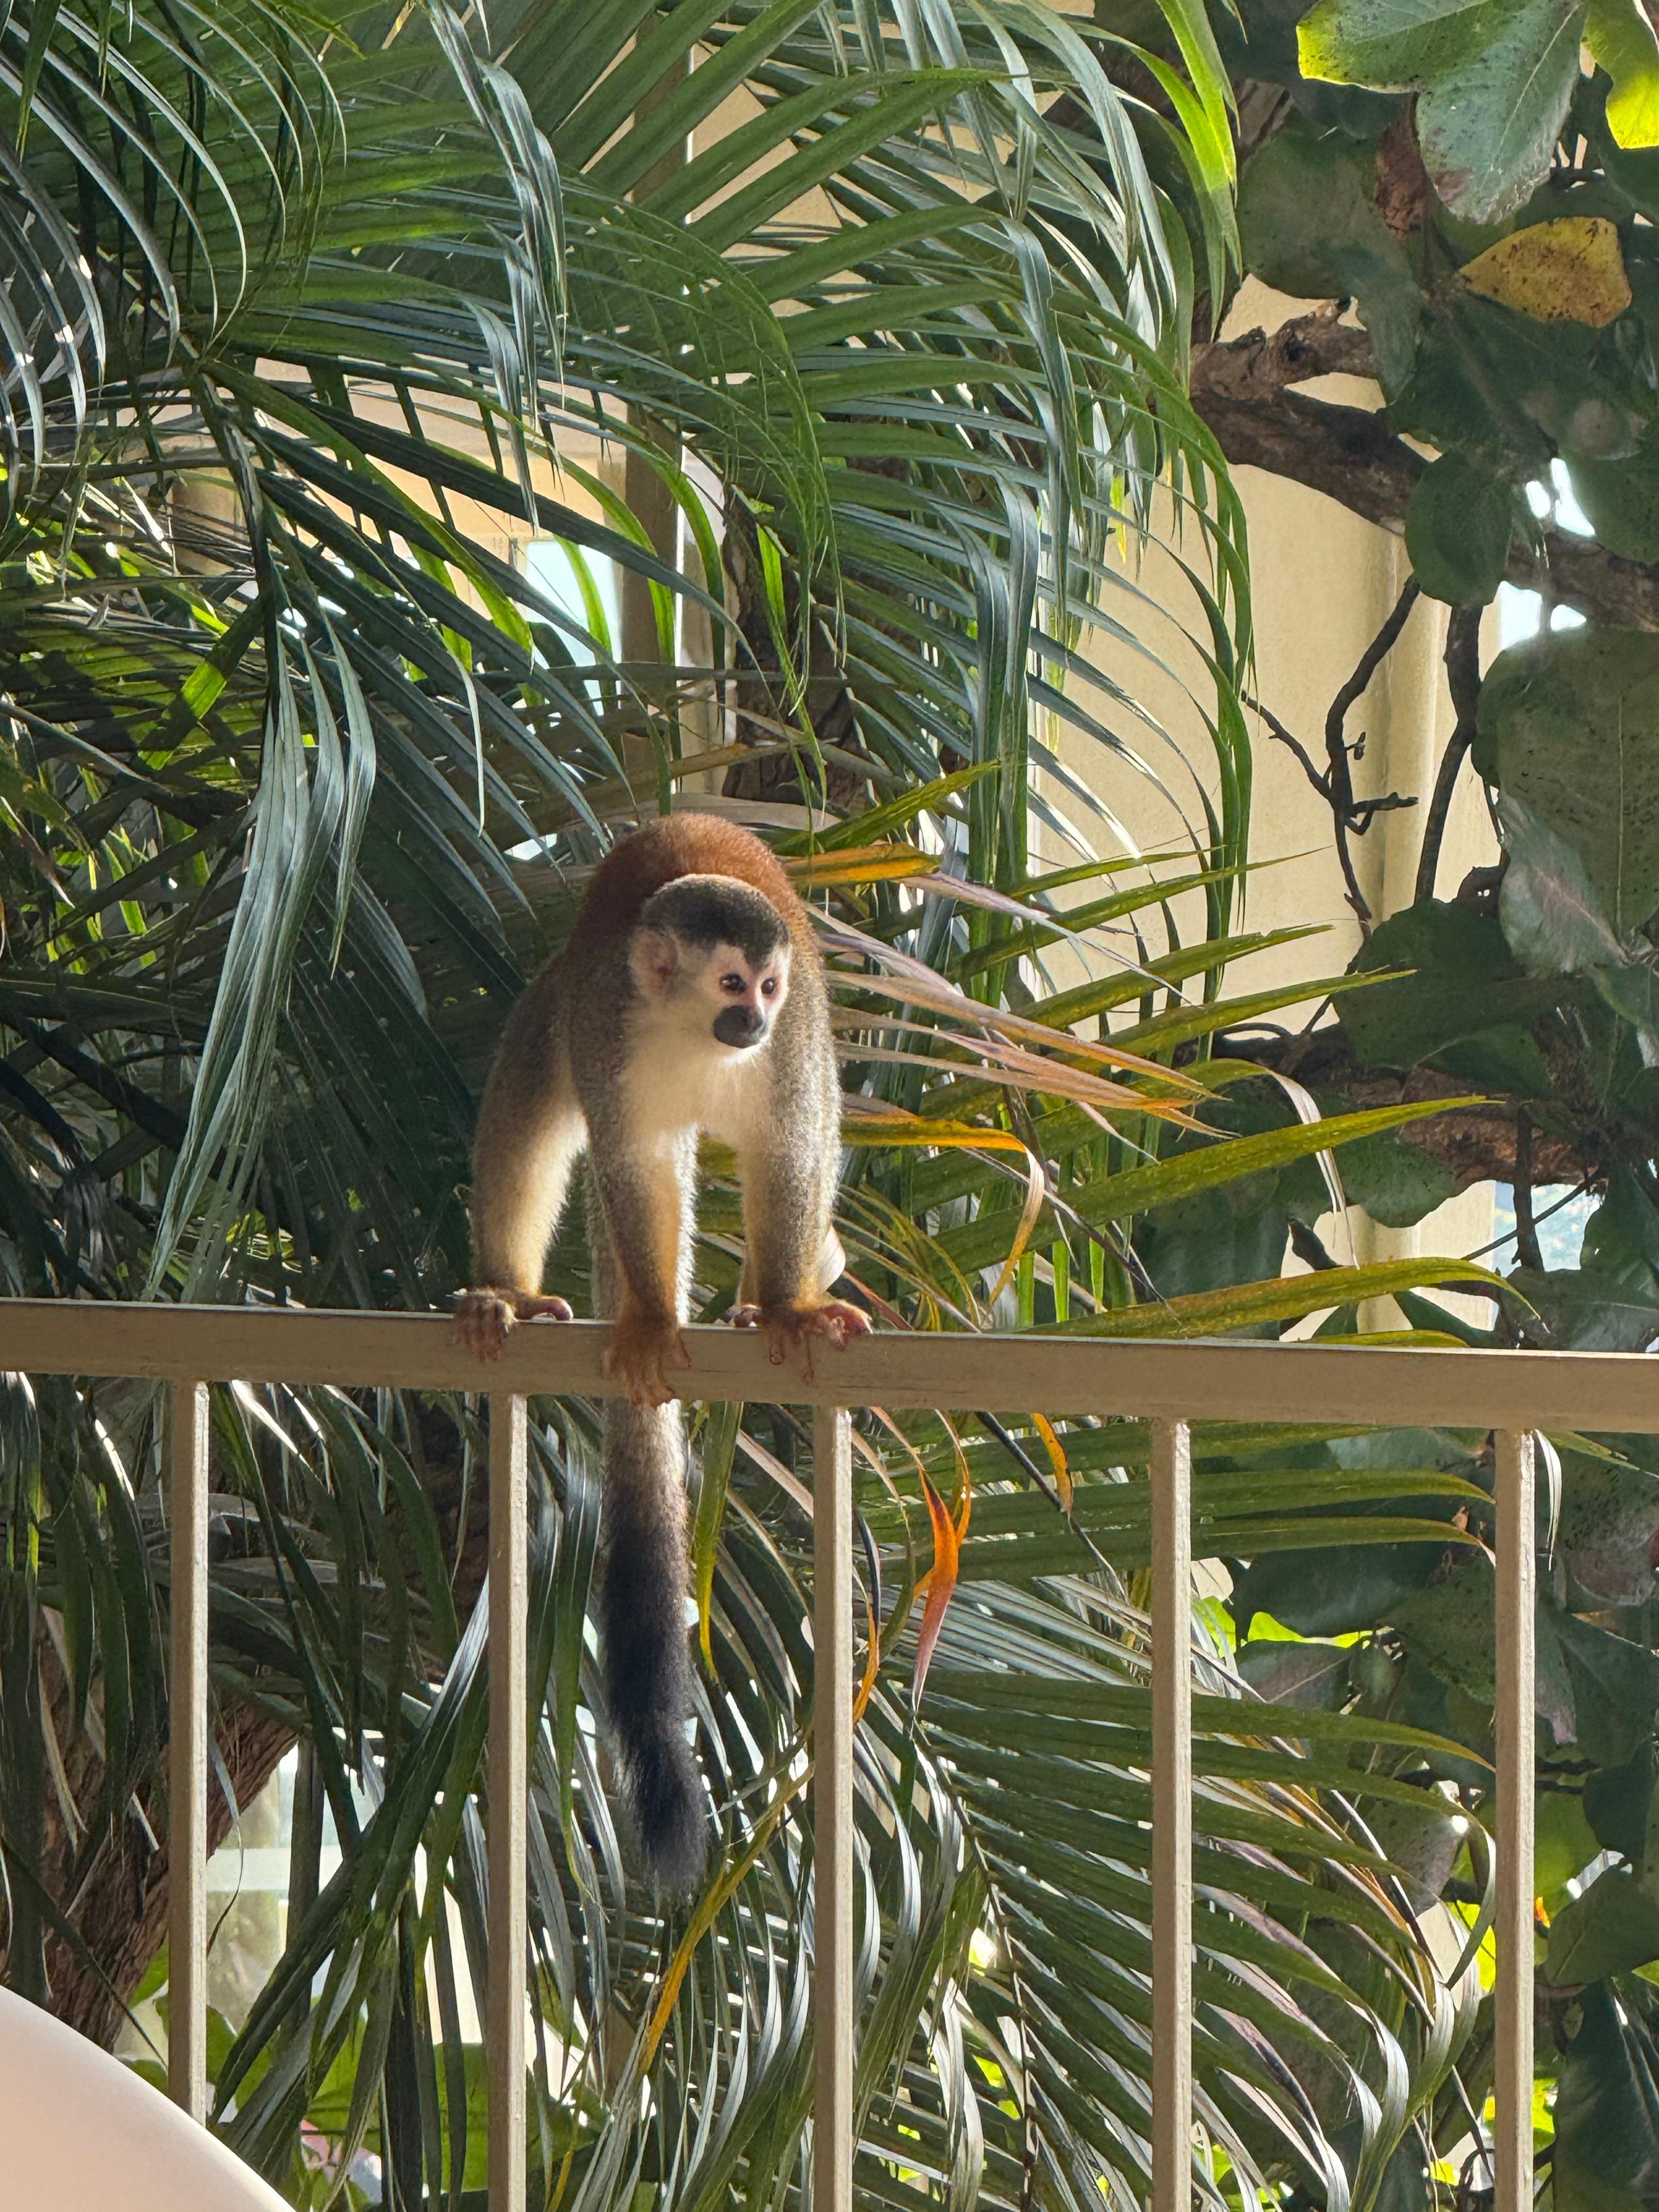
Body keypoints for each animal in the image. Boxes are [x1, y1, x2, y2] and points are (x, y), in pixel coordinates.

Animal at [453, 814, 868, 1889]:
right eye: (728, 984)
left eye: (765, 986)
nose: (751, 1020)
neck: (690, 1037)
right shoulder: (608, 1024)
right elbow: (625, 1165)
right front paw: (646, 1321)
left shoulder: (795, 1040)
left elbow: (793, 1153)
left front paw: (788, 1308)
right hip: (564, 1003)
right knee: (531, 1109)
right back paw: (506, 1290)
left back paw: (796, 1281)